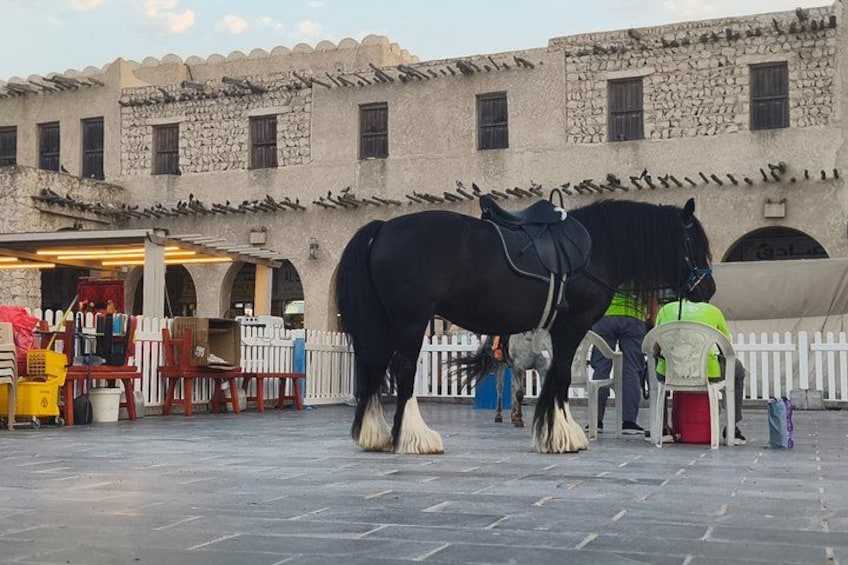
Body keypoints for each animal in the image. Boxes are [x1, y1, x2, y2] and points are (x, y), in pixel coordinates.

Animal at [335, 196, 714, 454]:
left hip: (386, 324)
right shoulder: (571, 326)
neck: (595, 248)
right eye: (694, 243)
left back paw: (376, 435)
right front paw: (561, 435)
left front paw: (555, 431)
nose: (707, 289)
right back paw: (416, 437)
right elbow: (561, 377)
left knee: (375, 367)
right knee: (403, 370)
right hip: (411, 321)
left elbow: (555, 376)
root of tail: (383, 228)